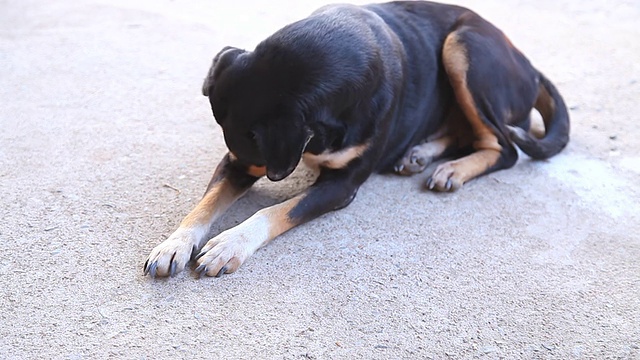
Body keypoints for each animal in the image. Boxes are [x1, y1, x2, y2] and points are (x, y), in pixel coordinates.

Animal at [142, 0, 568, 278]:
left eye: (255, 146)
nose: (248, 167)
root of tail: (530, 66)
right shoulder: (234, 164)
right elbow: (206, 204)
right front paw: (175, 243)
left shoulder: (341, 185)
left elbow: (275, 210)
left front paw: (231, 242)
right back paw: (420, 153)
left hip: (464, 47)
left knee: (504, 147)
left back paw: (453, 170)